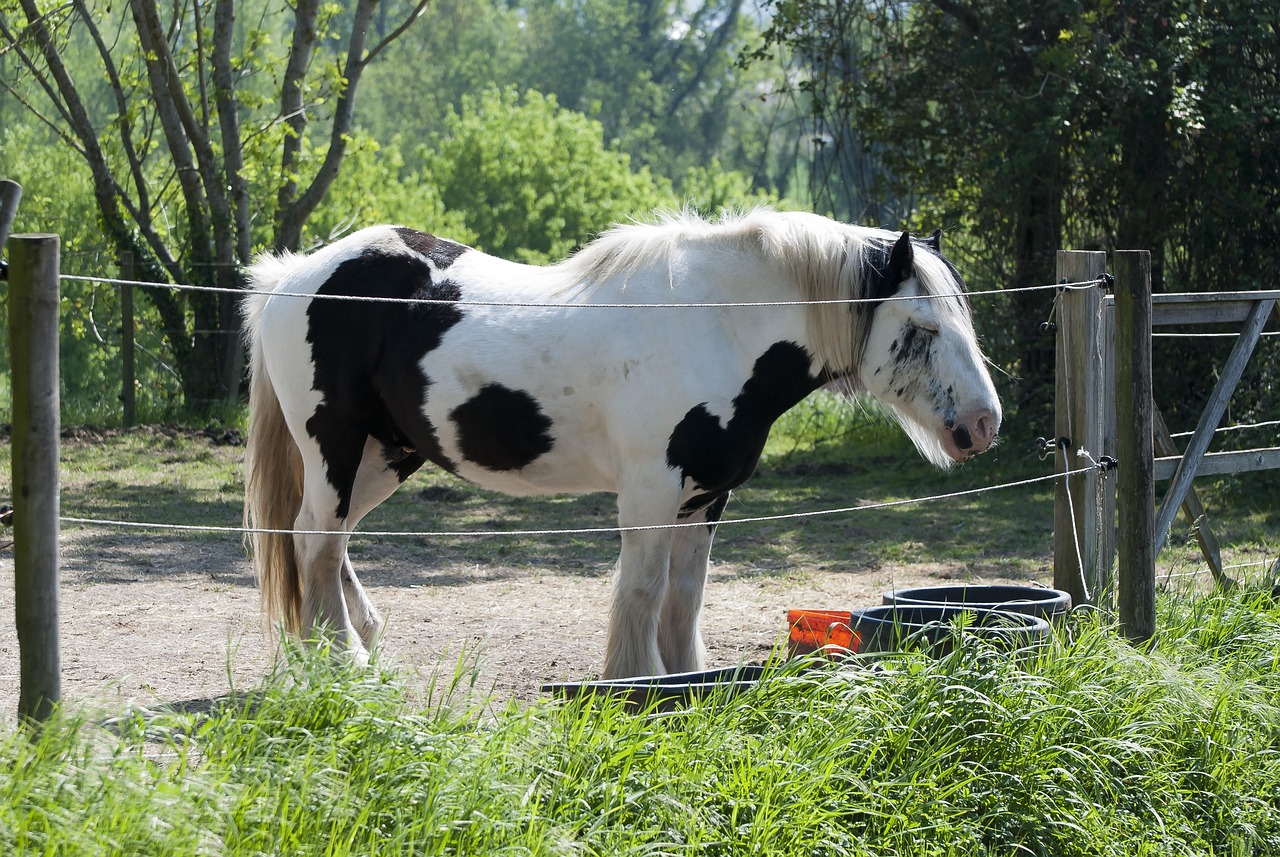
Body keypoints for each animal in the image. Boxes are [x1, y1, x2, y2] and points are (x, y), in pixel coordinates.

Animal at [241, 208, 1001, 679]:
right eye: (924, 326)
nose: (984, 425)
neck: (717, 324)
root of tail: (291, 276)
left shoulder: (706, 497)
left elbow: (685, 595)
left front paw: (688, 677)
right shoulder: (650, 492)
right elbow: (642, 589)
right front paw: (634, 680)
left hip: (383, 456)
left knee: (323, 538)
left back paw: (357, 640)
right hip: (335, 447)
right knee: (316, 540)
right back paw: (340, 657)